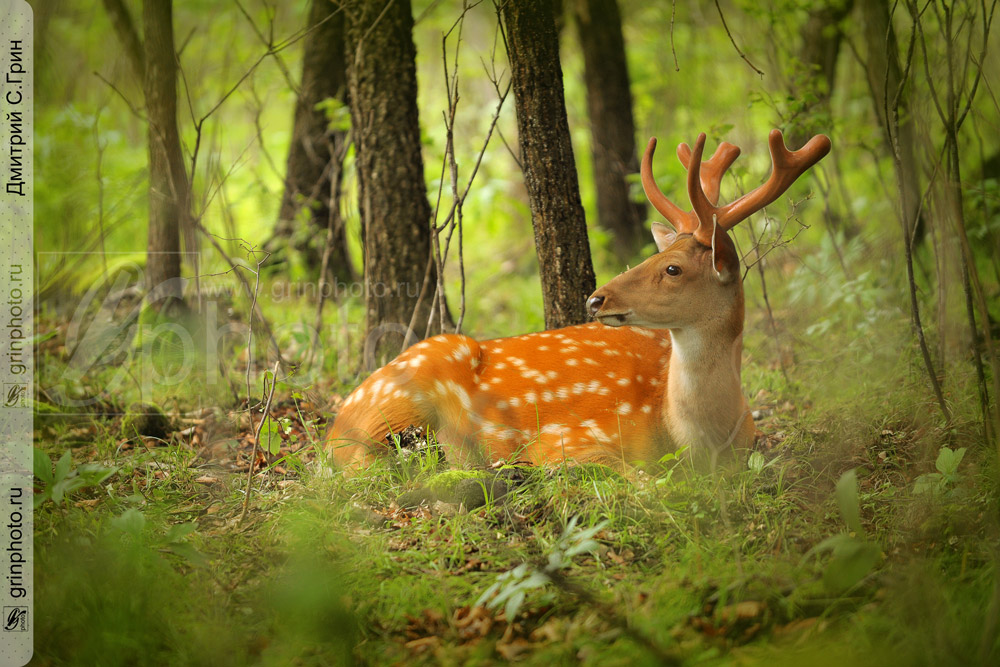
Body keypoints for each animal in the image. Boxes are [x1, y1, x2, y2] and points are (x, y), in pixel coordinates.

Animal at [326, 128, 828, 468]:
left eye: (672, 268)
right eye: (653, 254)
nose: (595, 299)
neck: (696, 438)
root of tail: (337, 416)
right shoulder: (571, 437)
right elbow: (637, 478)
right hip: (401, 392)